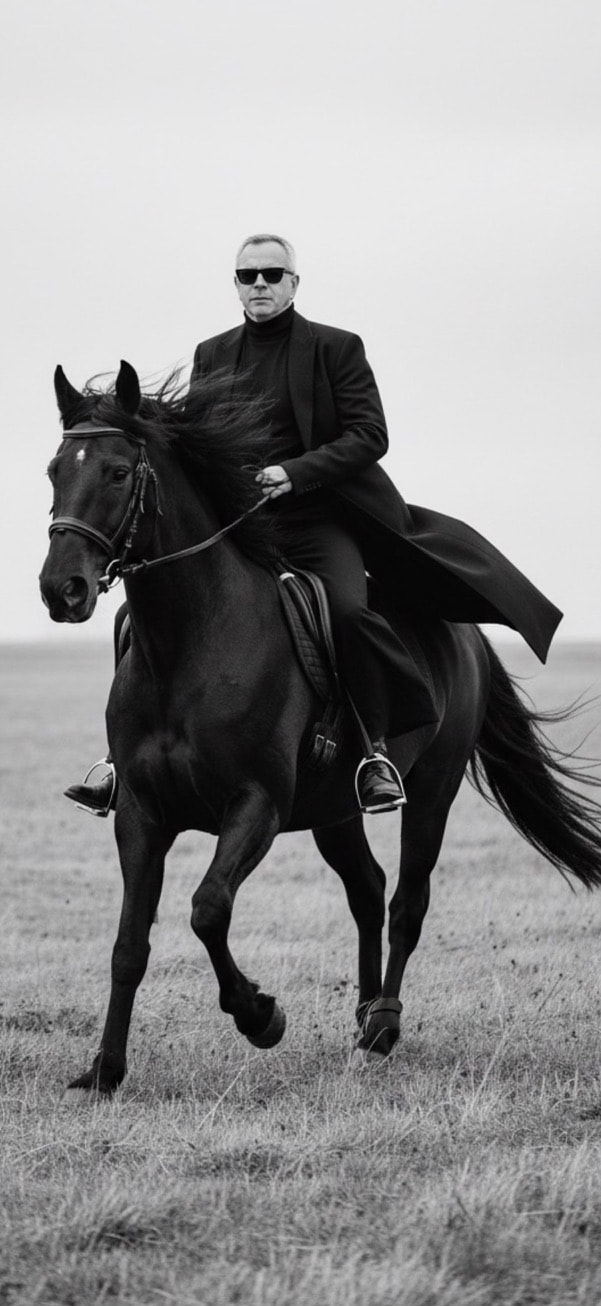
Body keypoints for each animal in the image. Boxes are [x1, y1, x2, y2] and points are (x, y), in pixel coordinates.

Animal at [39, 360, 601, 1094]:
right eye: (54, 469)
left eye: (115, 472)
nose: (62, 590)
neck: (189, 644)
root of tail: (465, 633)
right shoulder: (141, 812)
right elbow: (129, 944)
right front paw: (105, 1069)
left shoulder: (257, 804)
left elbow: (207, 907)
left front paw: (260, 1016)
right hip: (335, 809)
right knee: (368, 889)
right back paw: (363, 1016)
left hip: (432, 792)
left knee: (407, 902)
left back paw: (384, 1025)